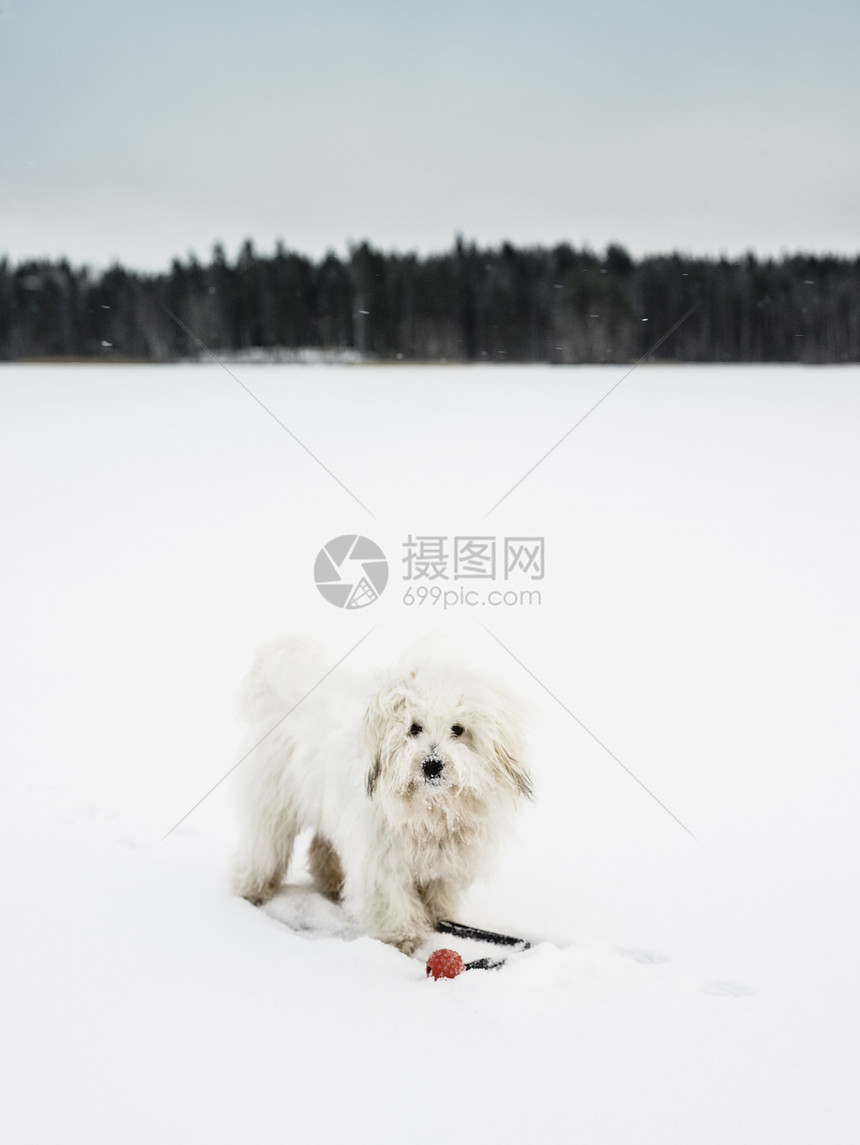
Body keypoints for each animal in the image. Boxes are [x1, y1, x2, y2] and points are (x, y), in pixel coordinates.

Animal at [232, 641, 535, 952]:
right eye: (414, 728)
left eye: (458, 729)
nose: (432, 765)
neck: (431, 811)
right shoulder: (380, 858)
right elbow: (391, 900)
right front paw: (402, 936)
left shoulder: (444, 863)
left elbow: (438, 894)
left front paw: (439, 918)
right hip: (272, 808)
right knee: (264, 852)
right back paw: (252, 889)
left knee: (320, 847)